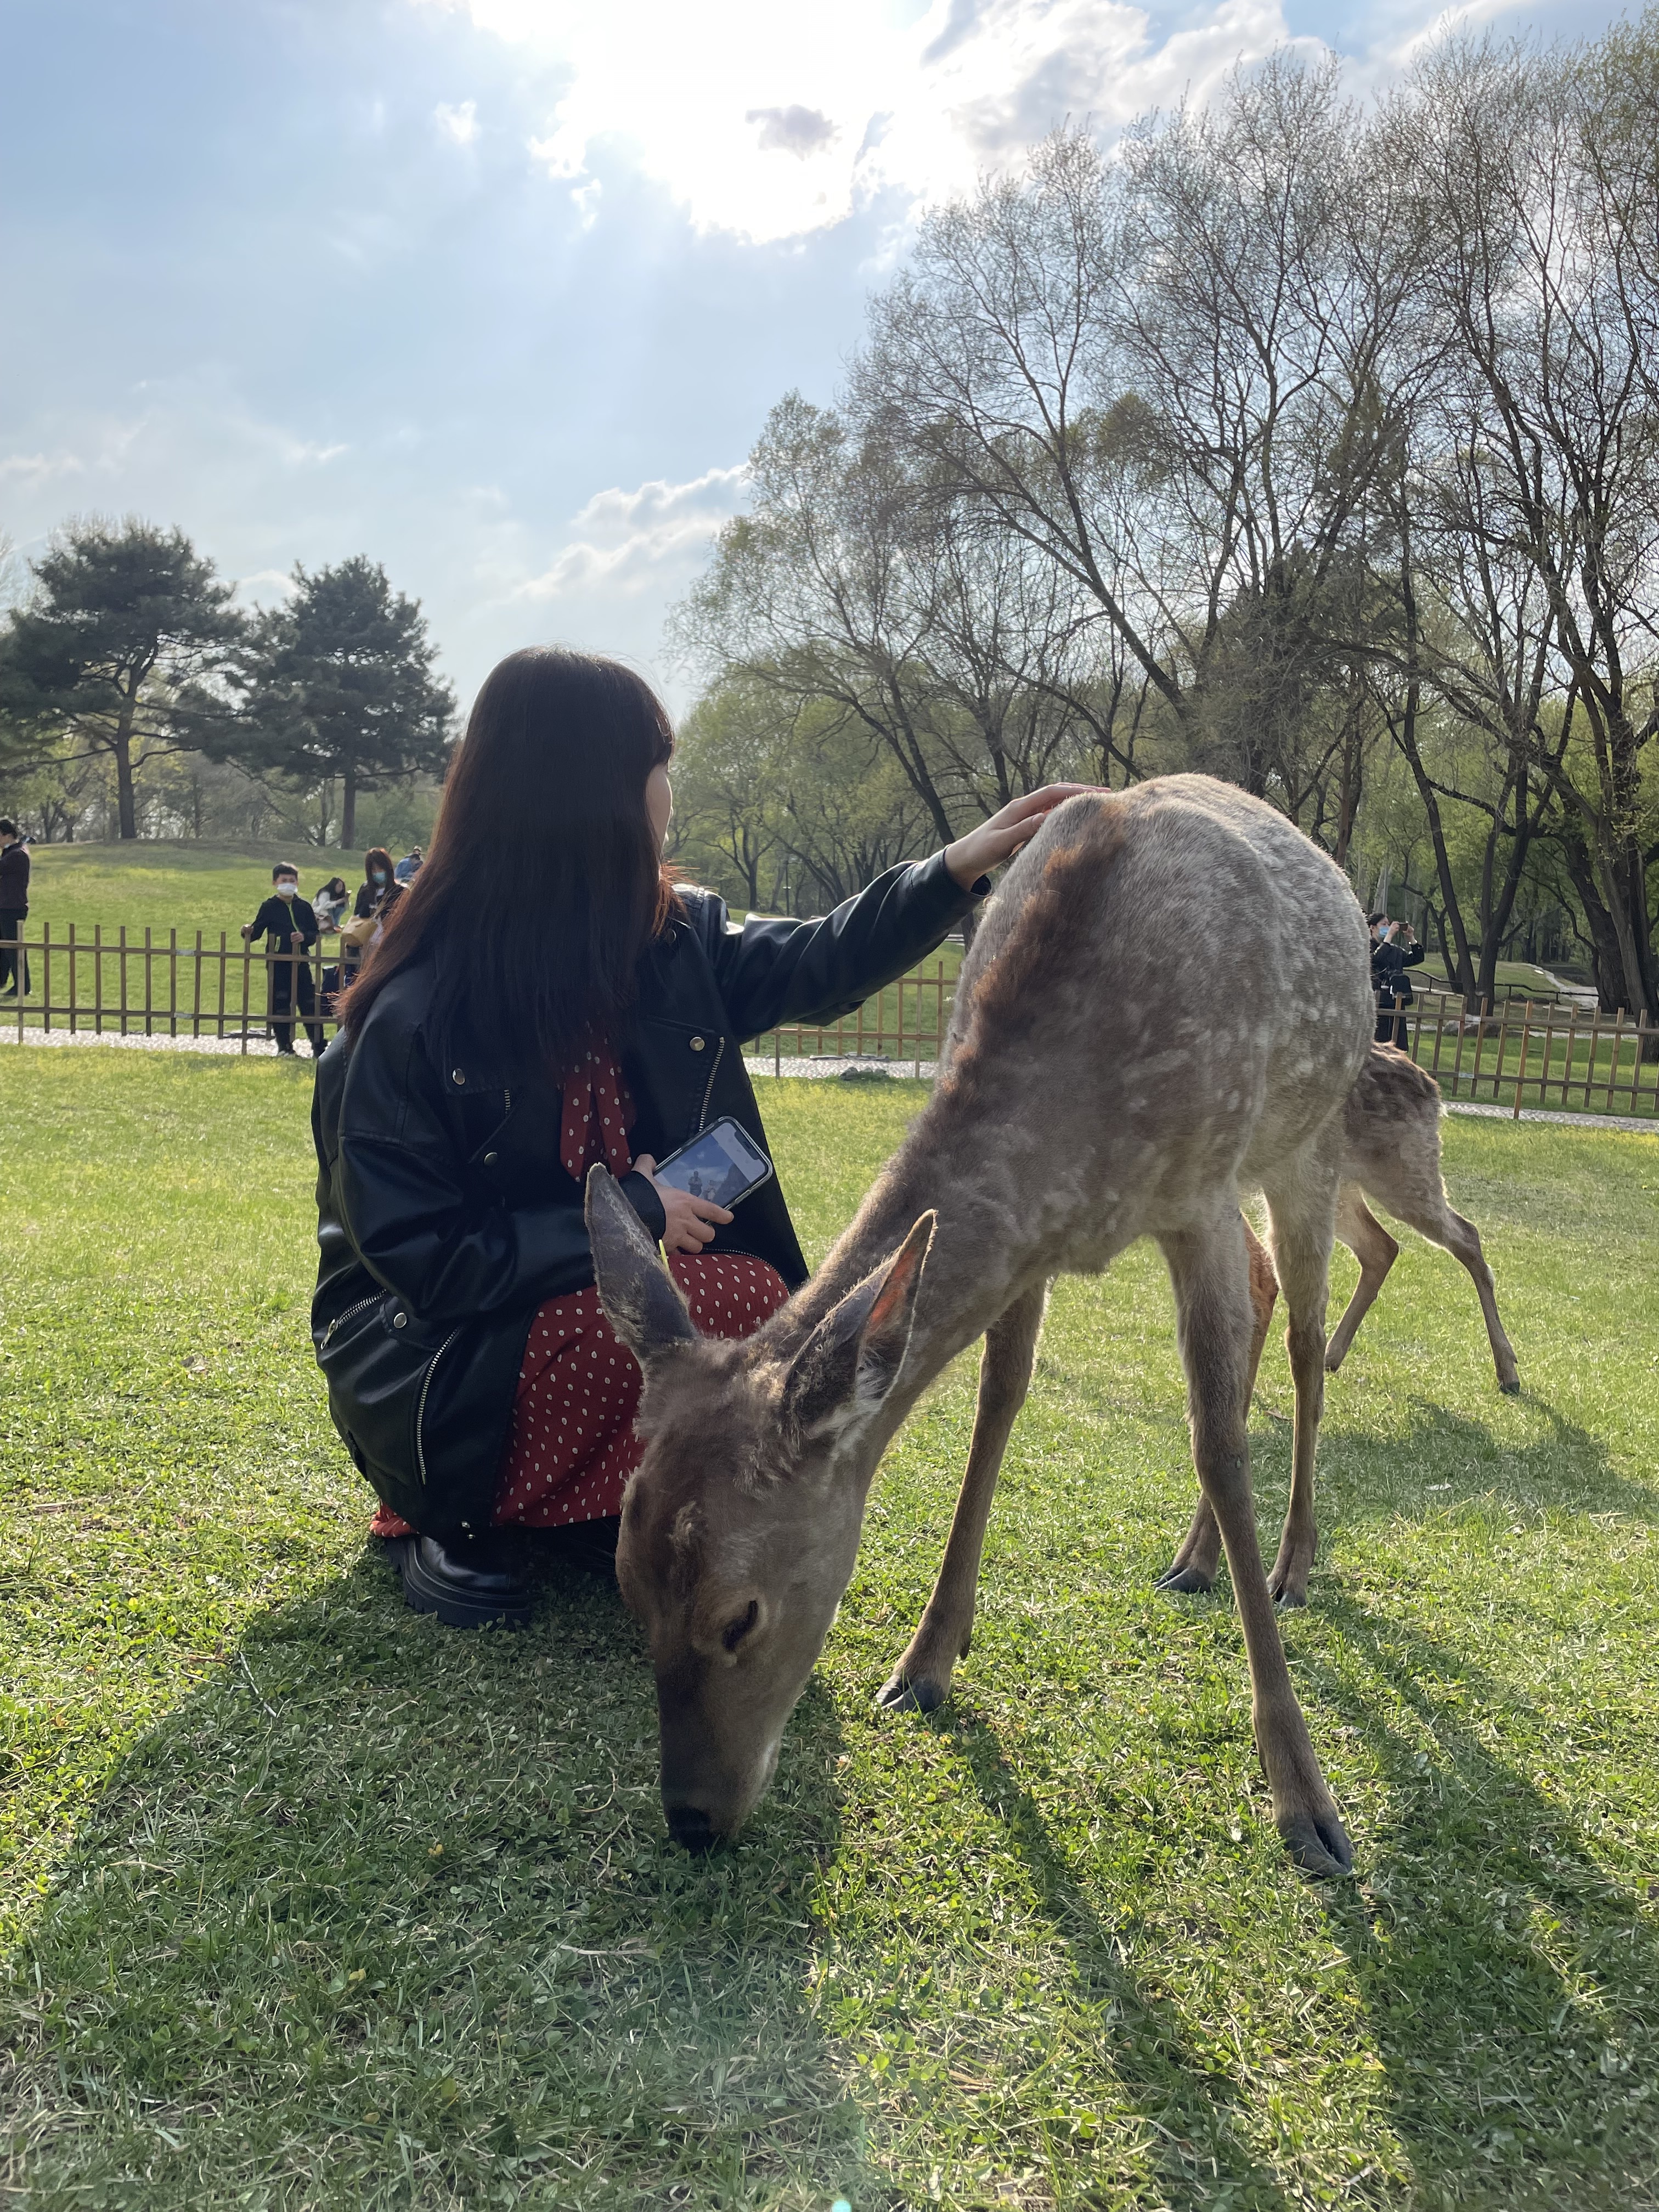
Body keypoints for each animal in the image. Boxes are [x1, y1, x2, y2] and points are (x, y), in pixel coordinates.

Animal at [587, 777, 1374, 1880]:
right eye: (626, 1584)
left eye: (740, 1614)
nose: (694, 1819)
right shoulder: (1037, 1241)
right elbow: (998, 1402)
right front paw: (926, 1659)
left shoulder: (1197, 1193)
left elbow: (1216, 1444)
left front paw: (1304, 1800)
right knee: (1267, 1300)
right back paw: (1196, 1558)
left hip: (1306, 1139)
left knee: (1306, 1338)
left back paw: (1291, 1562)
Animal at [1157, 1044, 1520, 1596]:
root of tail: (1432, 1087)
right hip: (1340, 1186)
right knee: (1381, 1247)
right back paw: (1334, 1354)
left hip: (1399, 1169)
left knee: (1466, 1236)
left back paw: (1508, 1369)